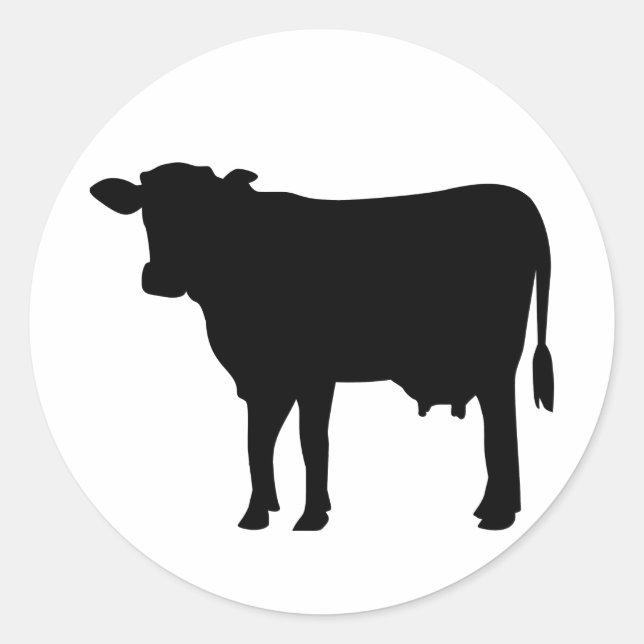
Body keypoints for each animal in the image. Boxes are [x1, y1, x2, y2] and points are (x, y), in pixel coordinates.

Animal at [90, 162, 554, 532]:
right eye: (147, 210)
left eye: (205, 213)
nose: (160, 278)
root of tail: (521, 202)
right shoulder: (263, 379)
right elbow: (258, 441)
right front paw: (259, 512)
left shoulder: (313, 373)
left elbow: (310, 441)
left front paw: (311, 516)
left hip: (496, 362)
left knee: (501, 426)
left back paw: (498, 514)